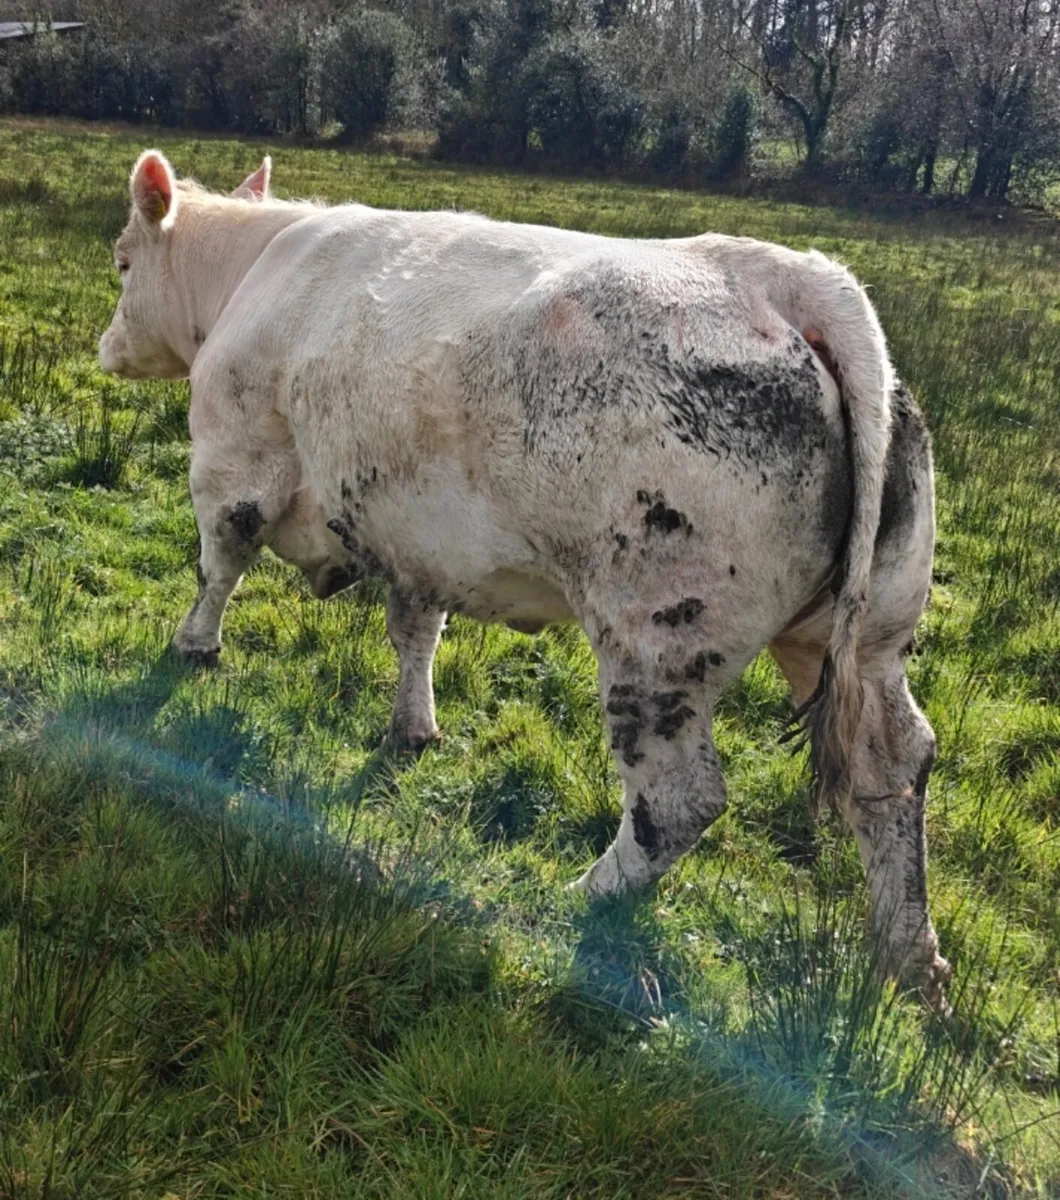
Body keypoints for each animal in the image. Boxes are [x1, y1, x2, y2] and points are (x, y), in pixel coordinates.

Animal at [100, 150, 950, 1010]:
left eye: (123, 262)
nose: (106, 346)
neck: (251, 271)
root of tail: (792, 278)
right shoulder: (419, 534)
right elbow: (415, 631)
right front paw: (413, 727)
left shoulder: (232, 461)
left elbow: (219, 564)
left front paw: (193, 647)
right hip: (866, 636)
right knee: (892, 767)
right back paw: (911, 959)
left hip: (658, 640)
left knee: (682, 797)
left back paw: (585, 897)